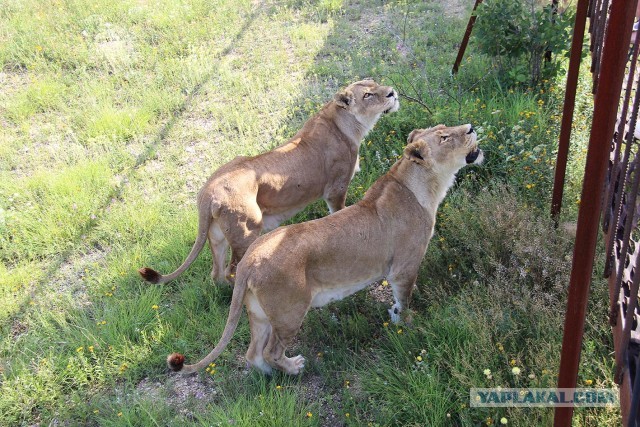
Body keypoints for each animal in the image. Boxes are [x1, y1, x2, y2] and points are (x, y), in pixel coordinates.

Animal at [139, 79, 399, 285]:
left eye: (375, 83)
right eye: (367, 95)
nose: (392, 93)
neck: (343, 122)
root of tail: (207, 193)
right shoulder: (336, 189)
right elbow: (339, 213)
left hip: (217, 235)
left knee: (216, 273)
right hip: (247, 230)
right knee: (232, 271)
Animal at [166, 123, 483, 375]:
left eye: (444, 128)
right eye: (444, 137)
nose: (470, 127)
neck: (421, 186)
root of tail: (249, 262)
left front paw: (395, 316)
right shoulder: (404, 268)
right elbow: (404, 300)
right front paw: (406, 323)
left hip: (258, 312)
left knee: (253, 354)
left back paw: (270, 376)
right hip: (289, 312)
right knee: (270, 351)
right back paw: (294, 368)